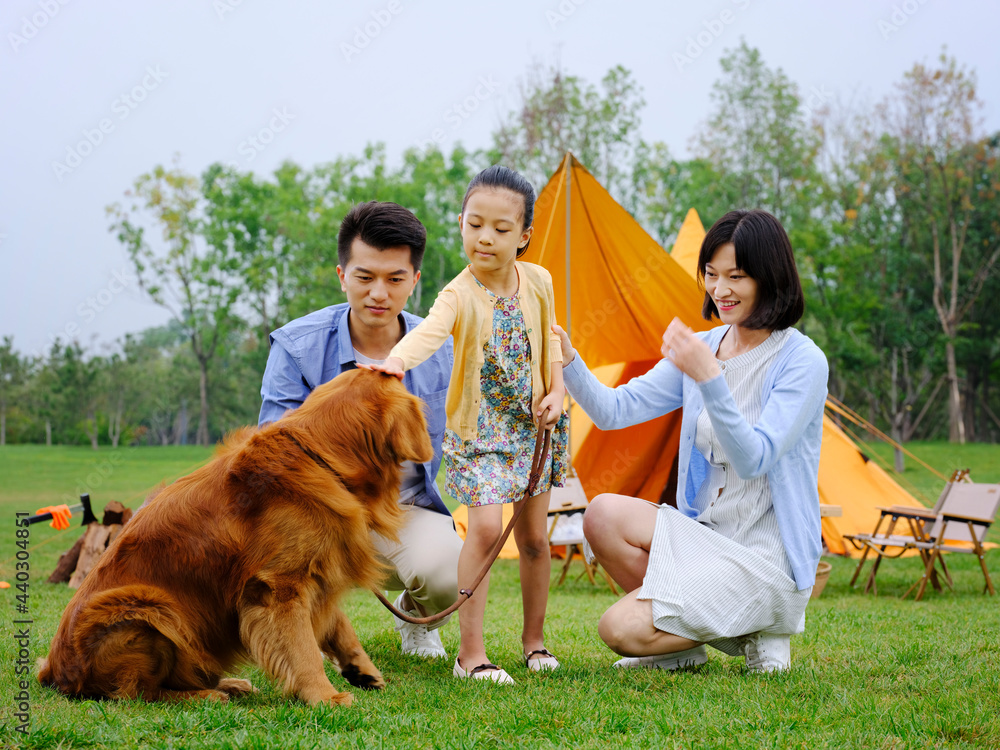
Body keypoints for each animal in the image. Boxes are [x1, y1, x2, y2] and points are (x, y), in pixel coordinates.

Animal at [39, 372, 432, 712]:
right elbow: (303, 647)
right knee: (138, 692)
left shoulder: (314, 567)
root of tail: (54, 672)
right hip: (149, 609)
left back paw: (230, 684)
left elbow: (338, 624)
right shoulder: (279, 586)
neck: (321, 456)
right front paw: (324, 696)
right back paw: (206, 694)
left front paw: (360, 668)